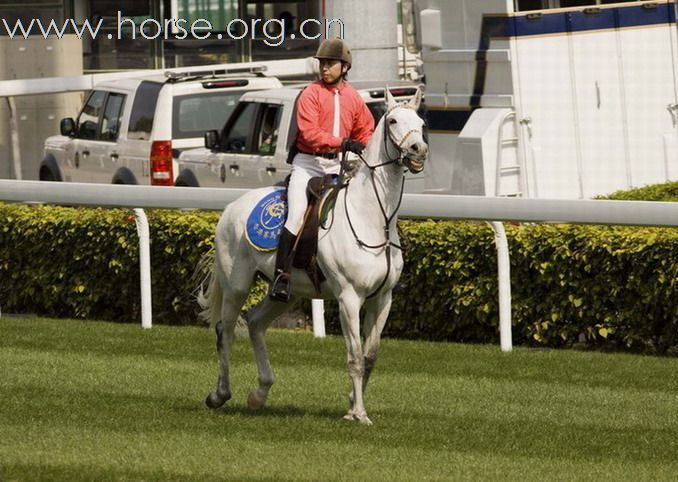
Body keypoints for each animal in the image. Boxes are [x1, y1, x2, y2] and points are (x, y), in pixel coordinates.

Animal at [199, 87, 428, 426]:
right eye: (393, 121)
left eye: (422, 123)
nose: (418, 150)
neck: (373, 219)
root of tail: (231, 207)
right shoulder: (349, 298)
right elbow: (354, 356)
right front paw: (359, 413)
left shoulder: (383, 298)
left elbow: (370, 356)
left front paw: (352, 405)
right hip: (236, 285)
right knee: (225, 332)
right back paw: (219, 394)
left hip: (287, 294)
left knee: (254, 322)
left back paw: (260, 393)